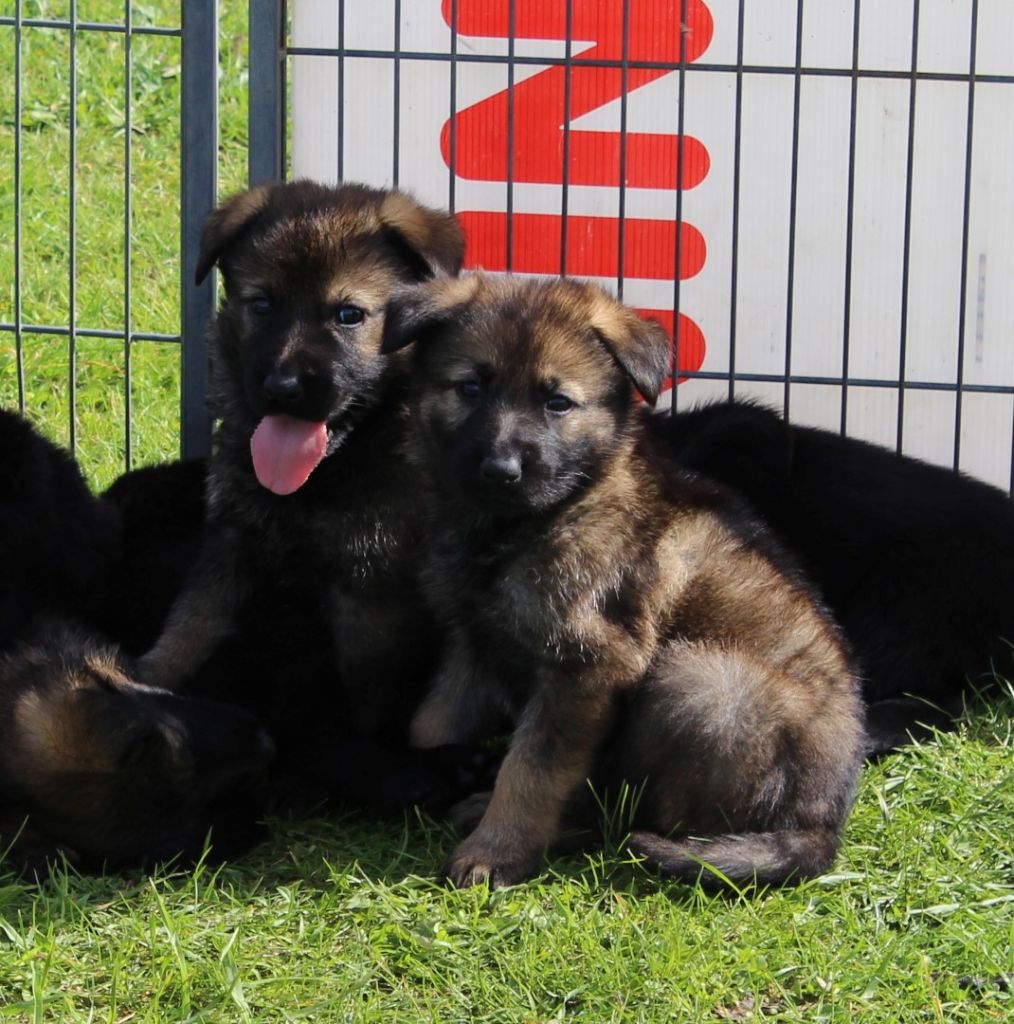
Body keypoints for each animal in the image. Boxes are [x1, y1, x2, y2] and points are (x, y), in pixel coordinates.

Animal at [137, 180, 477, 811]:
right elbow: (188, 628)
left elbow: (367, 697)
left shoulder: (369, 594)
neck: (320, 481)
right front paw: (147, 681)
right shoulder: (232, 544)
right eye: (262, 305)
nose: (283, 387)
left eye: (348, 315)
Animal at [381, 276, 864, 892]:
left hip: (704, 686)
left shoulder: (588, 663)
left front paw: (496, 851)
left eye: (558, 403)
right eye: (470, 388)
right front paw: (416, 772)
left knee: (628, 815)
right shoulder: (472, 640)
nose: (501, 470)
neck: (538, 519)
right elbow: (433, 722)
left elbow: (532, 768)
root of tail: (820, 827)